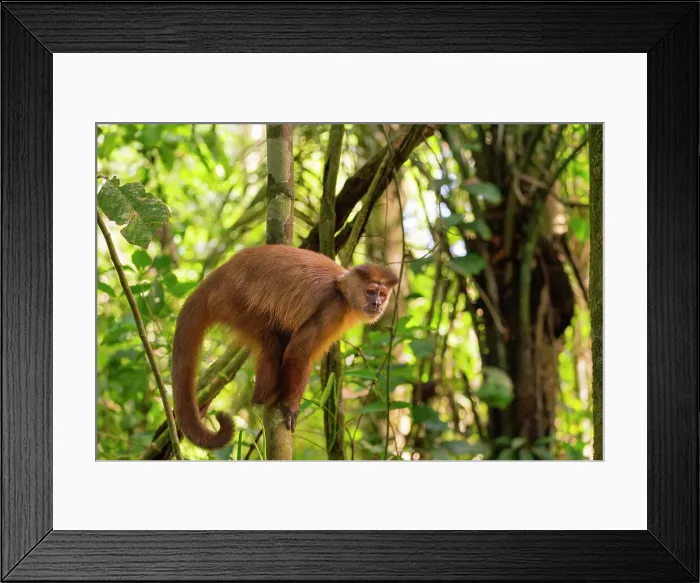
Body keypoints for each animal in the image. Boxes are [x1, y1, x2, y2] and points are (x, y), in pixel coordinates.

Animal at [171, 245, 398, 450]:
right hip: (233, 303)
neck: (343, 293)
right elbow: (299, 351)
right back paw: (264, 397)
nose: (377, 304)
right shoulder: (332, 310)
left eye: (382, 294)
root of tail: (217, 276)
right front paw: (290, 407)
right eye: (370, 292)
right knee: (272, 343)